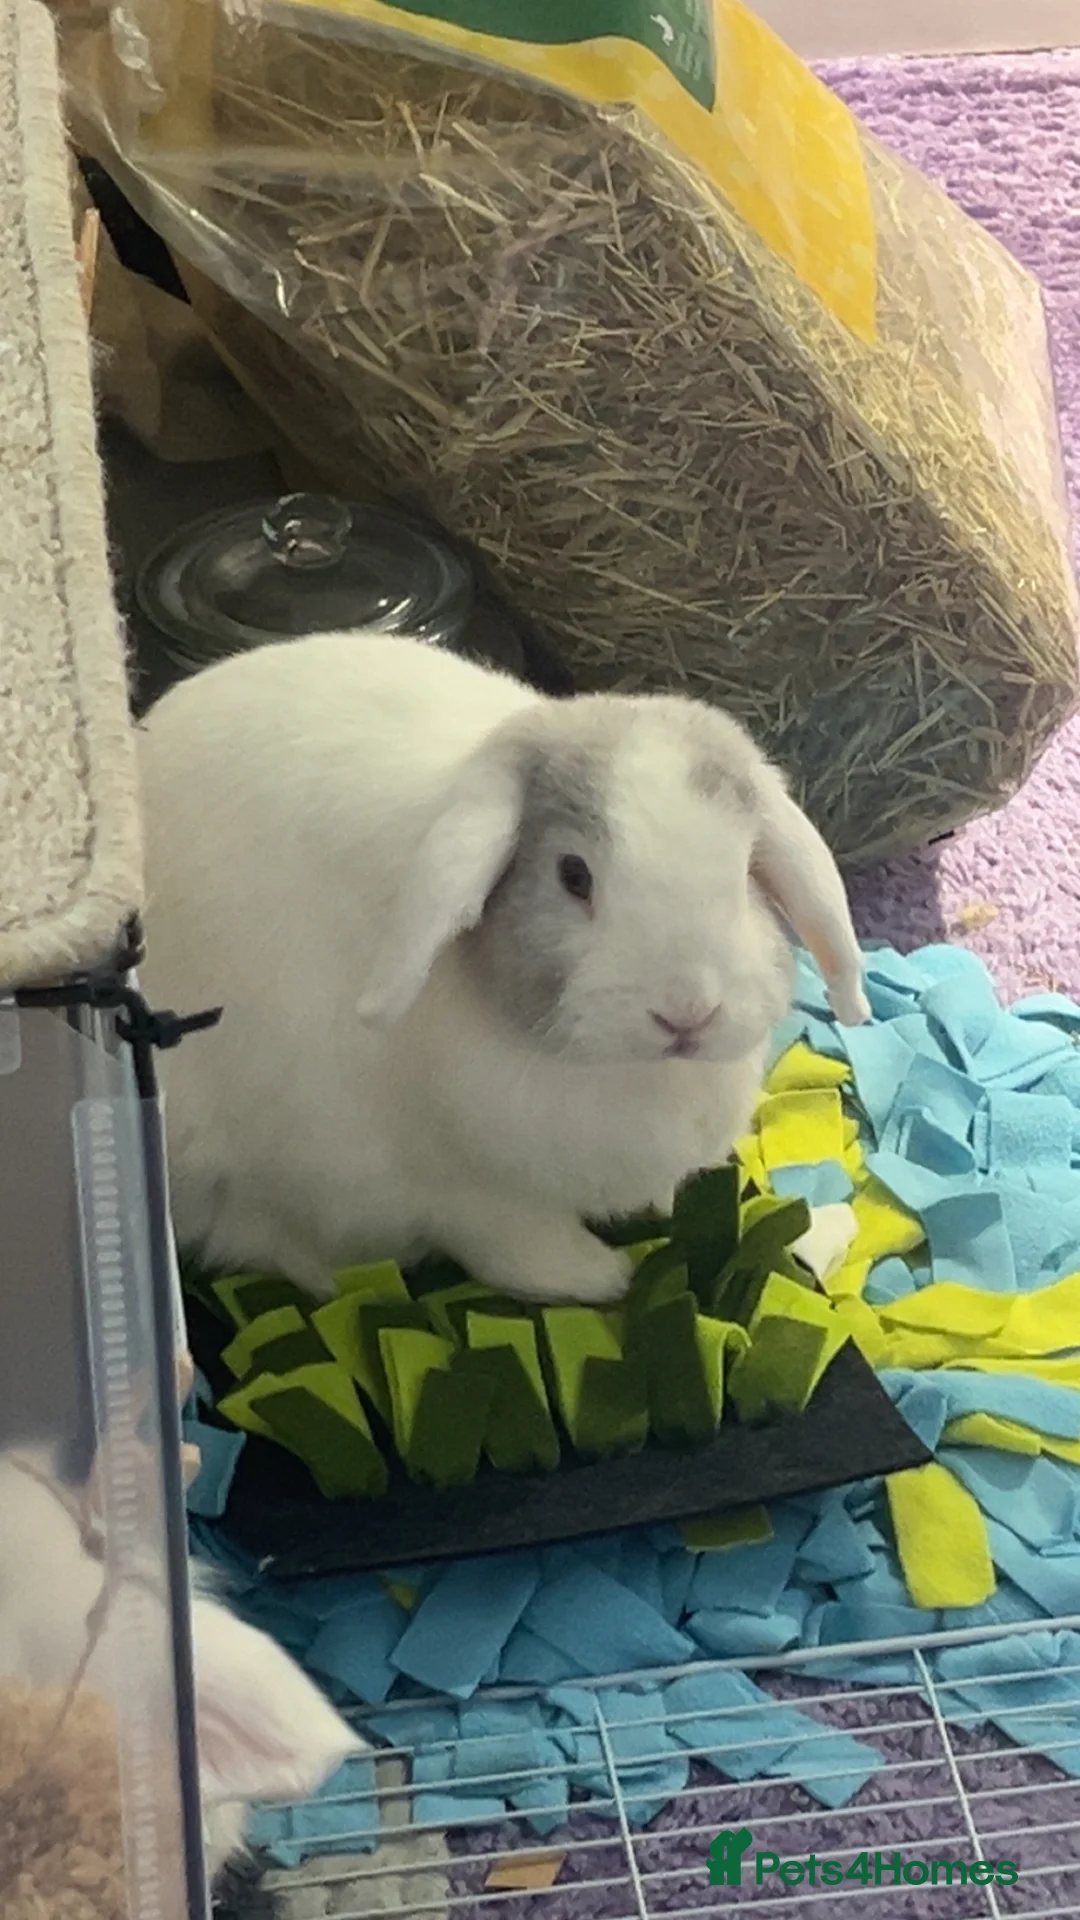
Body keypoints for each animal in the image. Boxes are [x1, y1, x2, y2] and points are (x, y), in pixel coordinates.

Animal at [137, 630, 868, 1306]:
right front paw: (604, 1278)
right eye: (573, 875)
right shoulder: (466, 1193)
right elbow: (517, 1246)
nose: (687, 1012)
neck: (629, 1074)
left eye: (745, 871)